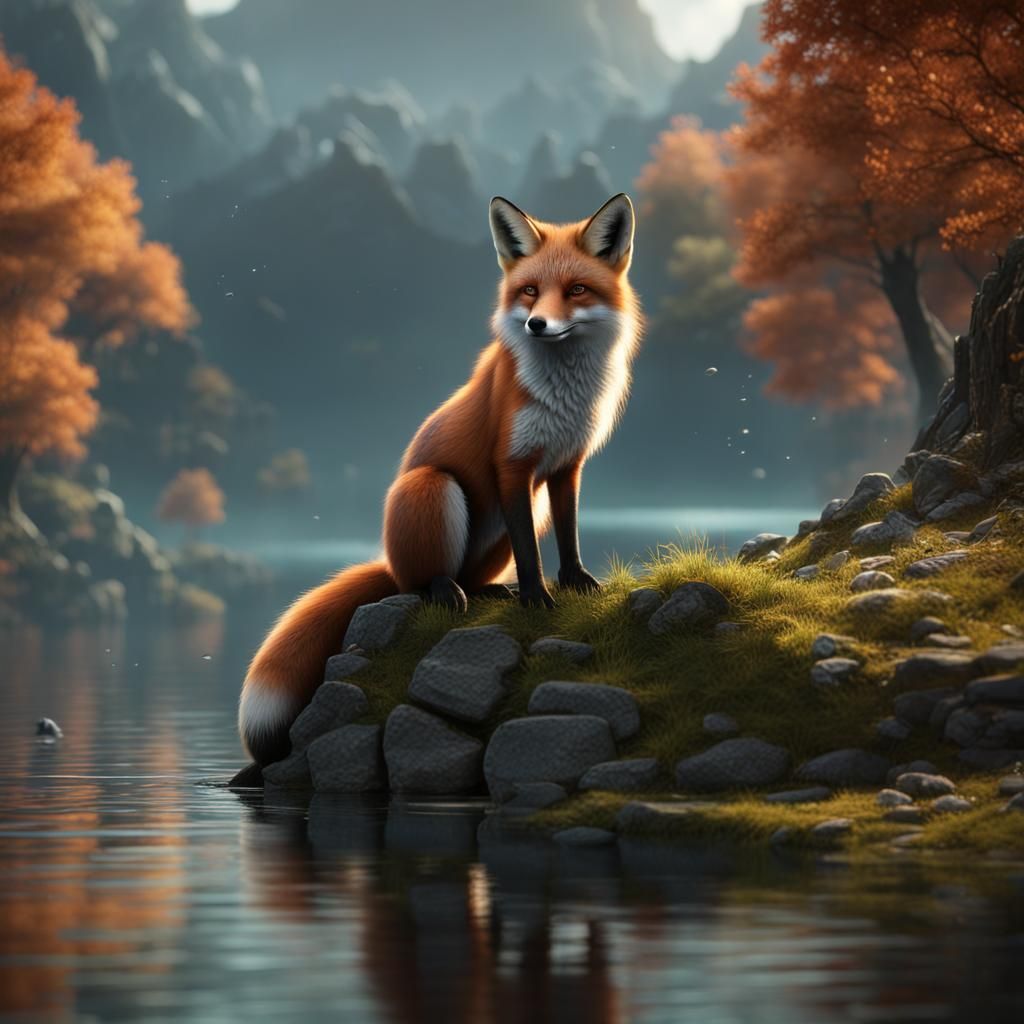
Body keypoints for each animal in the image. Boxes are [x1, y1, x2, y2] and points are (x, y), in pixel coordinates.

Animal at [238, 193, 643, 768]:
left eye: (577, 290)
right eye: (529, 292)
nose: (537, 324)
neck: (564, 393)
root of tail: (389, 561)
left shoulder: (567, 466)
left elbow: (568, 534)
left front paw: (575, 583)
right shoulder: (511, 465)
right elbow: (529, 548)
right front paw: (537, 598)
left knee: (474, 574)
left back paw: (491, 589)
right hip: (433, 486)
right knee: (421, 583)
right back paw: (445, 589)